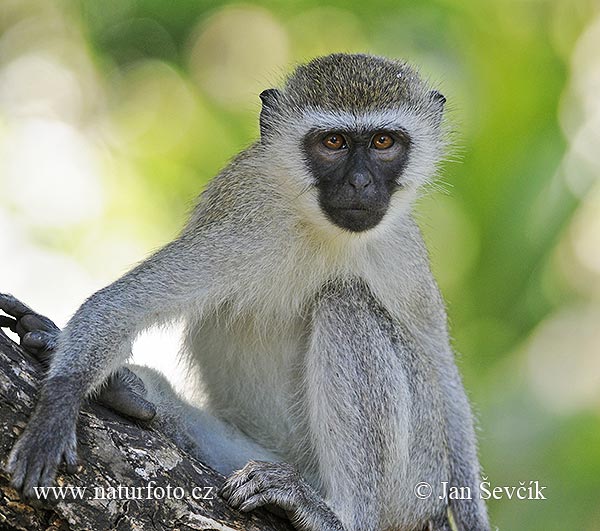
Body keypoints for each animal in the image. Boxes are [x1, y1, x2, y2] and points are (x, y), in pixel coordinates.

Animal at [0, 54, 490, 531]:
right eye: (333, 142)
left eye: (384, 142)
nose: (359, 184)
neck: (319, 228)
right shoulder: (242, 232)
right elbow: (121, 306)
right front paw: (55, 411)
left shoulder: (403, 253)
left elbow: (441, 370)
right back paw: (129, 391)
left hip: (419, 479)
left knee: (346, 304)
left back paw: (344, 516)